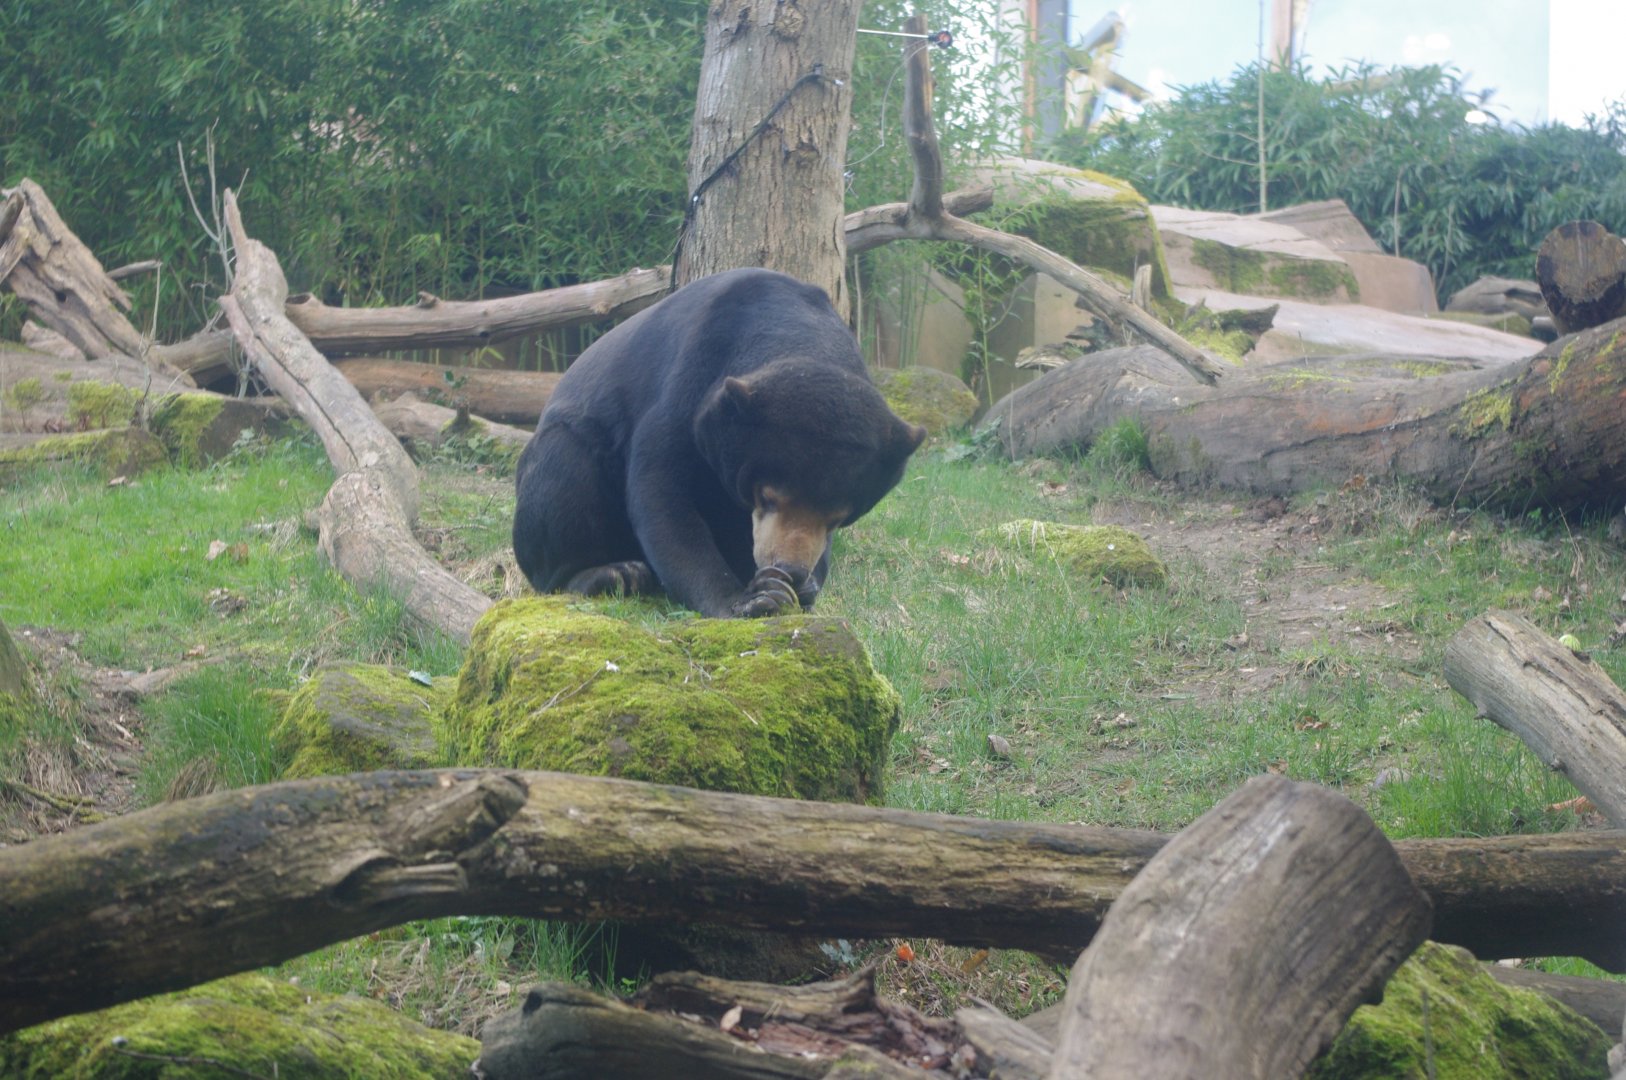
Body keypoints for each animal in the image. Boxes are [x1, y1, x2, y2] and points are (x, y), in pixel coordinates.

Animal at [512, 267, 926, 618]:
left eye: (839, 518)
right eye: (768, 497)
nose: (789, 570)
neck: (801, 337)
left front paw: (800, 589)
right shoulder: (689, 381)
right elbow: (661, 492)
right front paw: (749, 599)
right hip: (560, 460)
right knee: (565, 478)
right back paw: (613, 573)